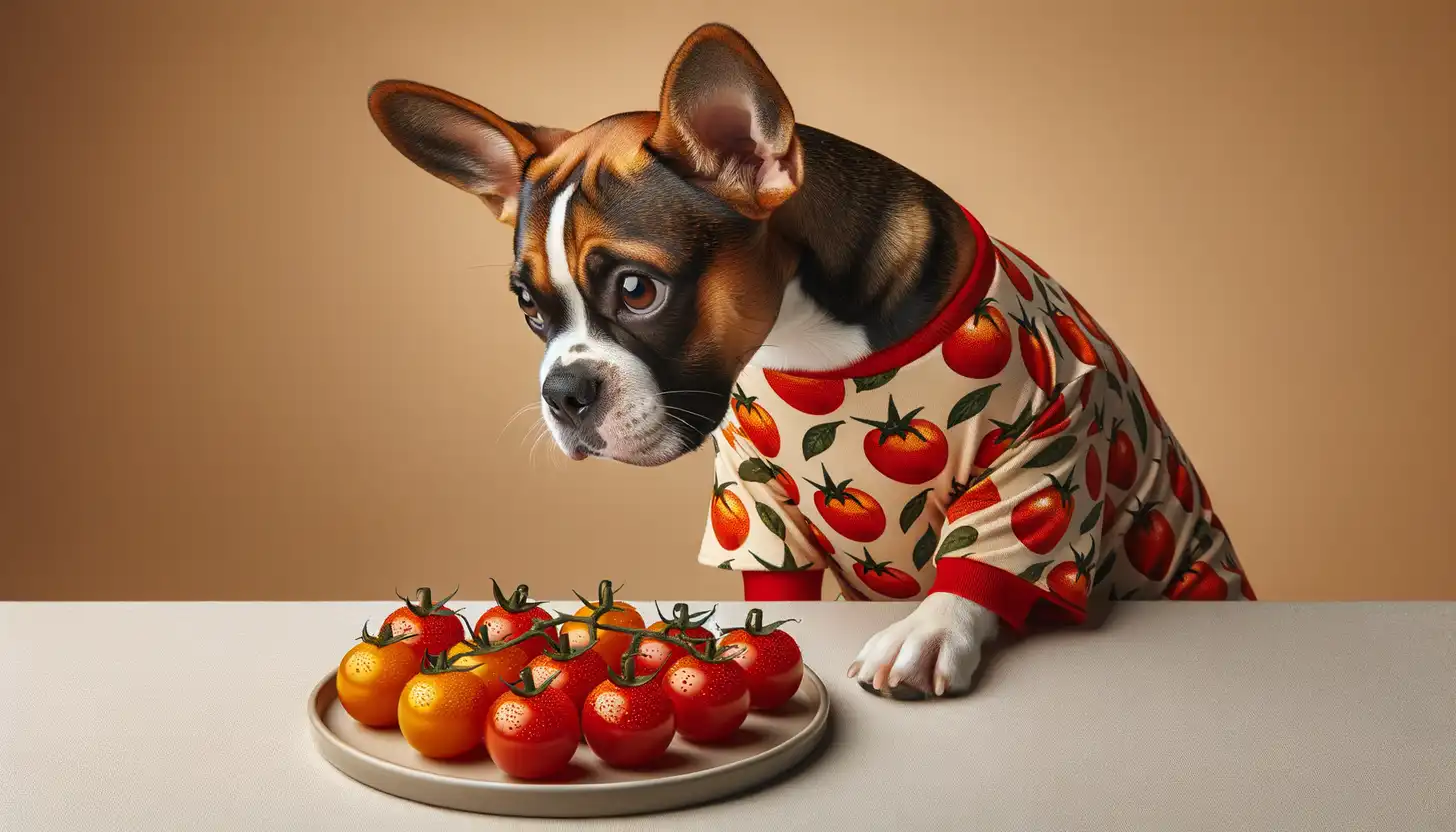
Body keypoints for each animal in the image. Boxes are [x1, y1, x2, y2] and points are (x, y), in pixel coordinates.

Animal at [364, 22, 1252, 699]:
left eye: (638, 290)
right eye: (530, 311)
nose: (565, 392)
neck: (808, 340)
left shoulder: (1047, 439)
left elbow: (989, 546)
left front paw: (931, 629)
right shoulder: (752, 499)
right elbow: (776, 575)